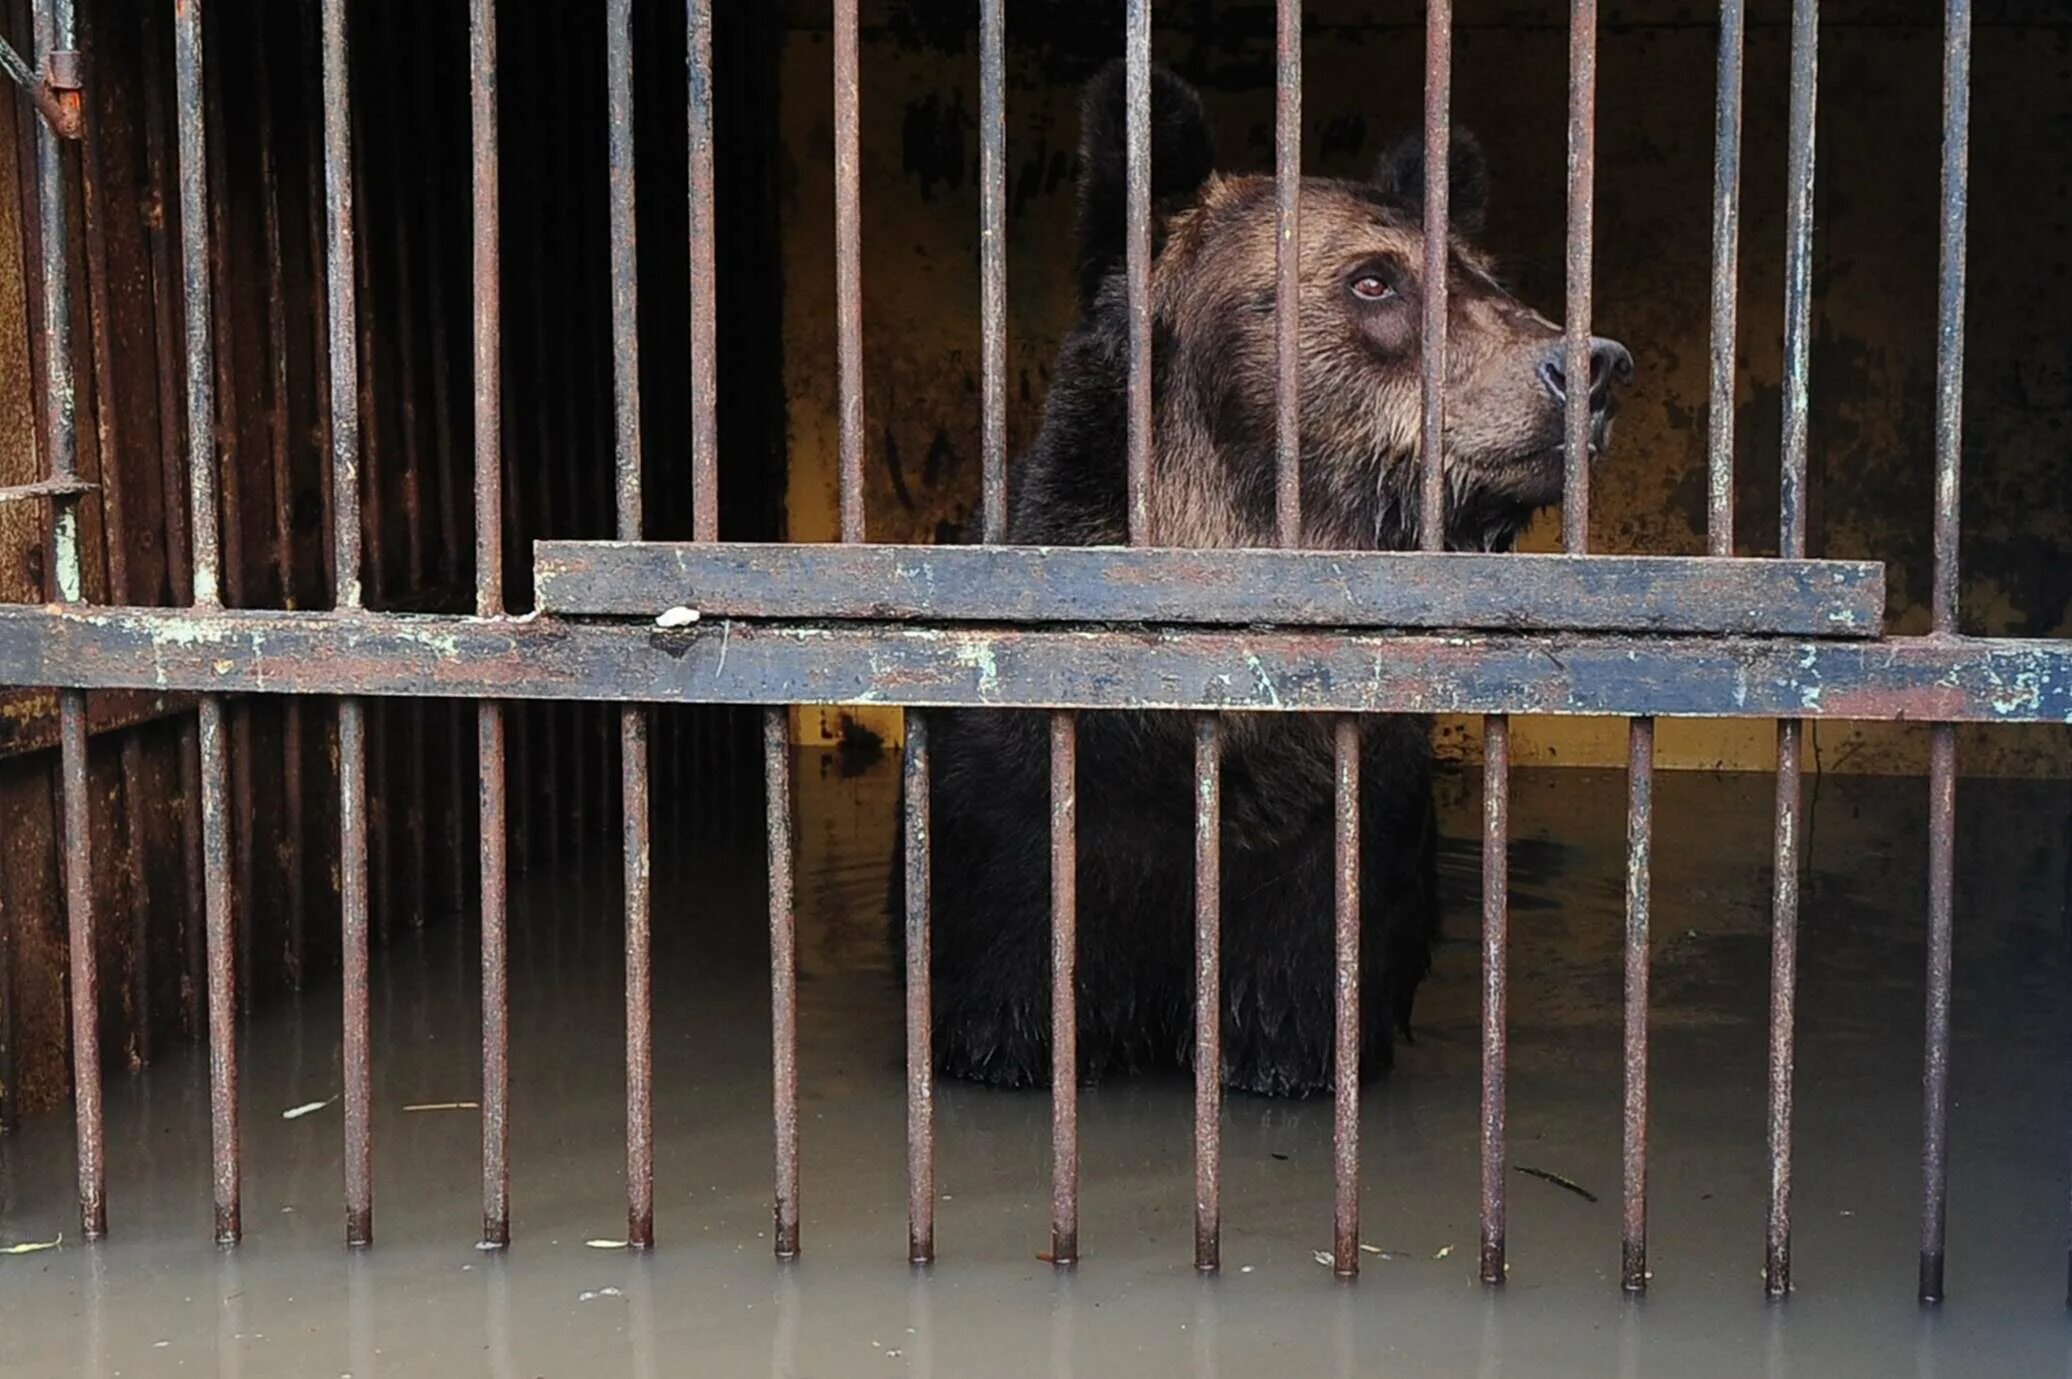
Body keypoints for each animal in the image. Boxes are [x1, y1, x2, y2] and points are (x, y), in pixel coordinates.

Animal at [899, 61, 1624, 1093]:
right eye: (1375, 279)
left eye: (1485, 277)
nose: (1589, 367)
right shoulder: (1016, 828)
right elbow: (1002, 1003)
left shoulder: (1335, 837)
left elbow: (1303, 1014)